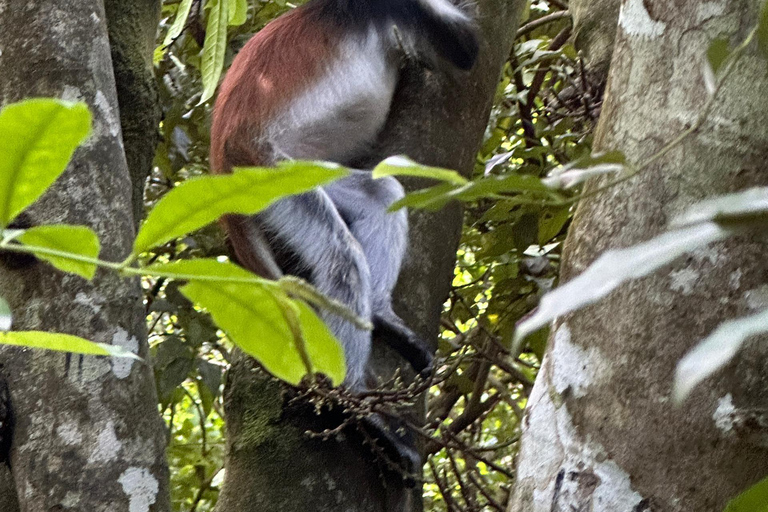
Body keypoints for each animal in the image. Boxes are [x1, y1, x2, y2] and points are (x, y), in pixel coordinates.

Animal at [210, 0, 474, 390]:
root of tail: (220, 159)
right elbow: (464, 48)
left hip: (299, 173)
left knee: (381, 193)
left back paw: (380, 317)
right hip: (267, 176)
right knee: (341, 259)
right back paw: (349, 392)